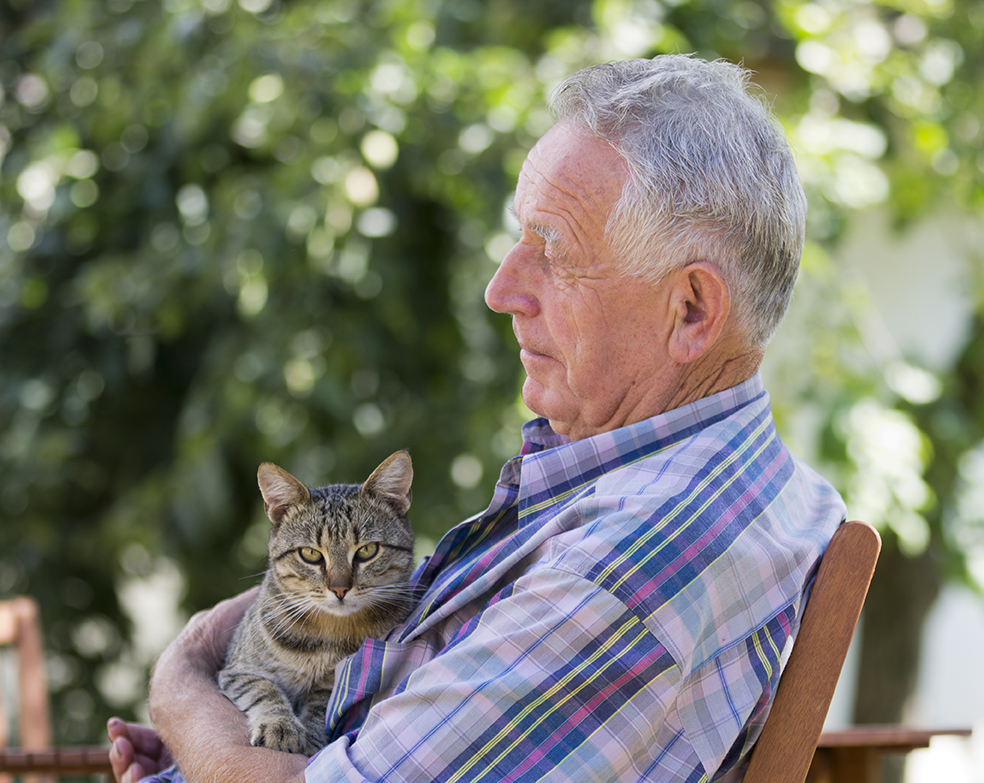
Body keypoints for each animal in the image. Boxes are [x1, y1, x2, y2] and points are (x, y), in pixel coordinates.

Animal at [219, 450, 416, 756]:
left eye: (367, 550)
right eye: (310, 554)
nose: (339, 588)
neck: (328, 633)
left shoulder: (331, 685)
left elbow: (320, 706)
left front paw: (309, 738)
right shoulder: (236, 671)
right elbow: (263, 690)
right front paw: (280, 726)